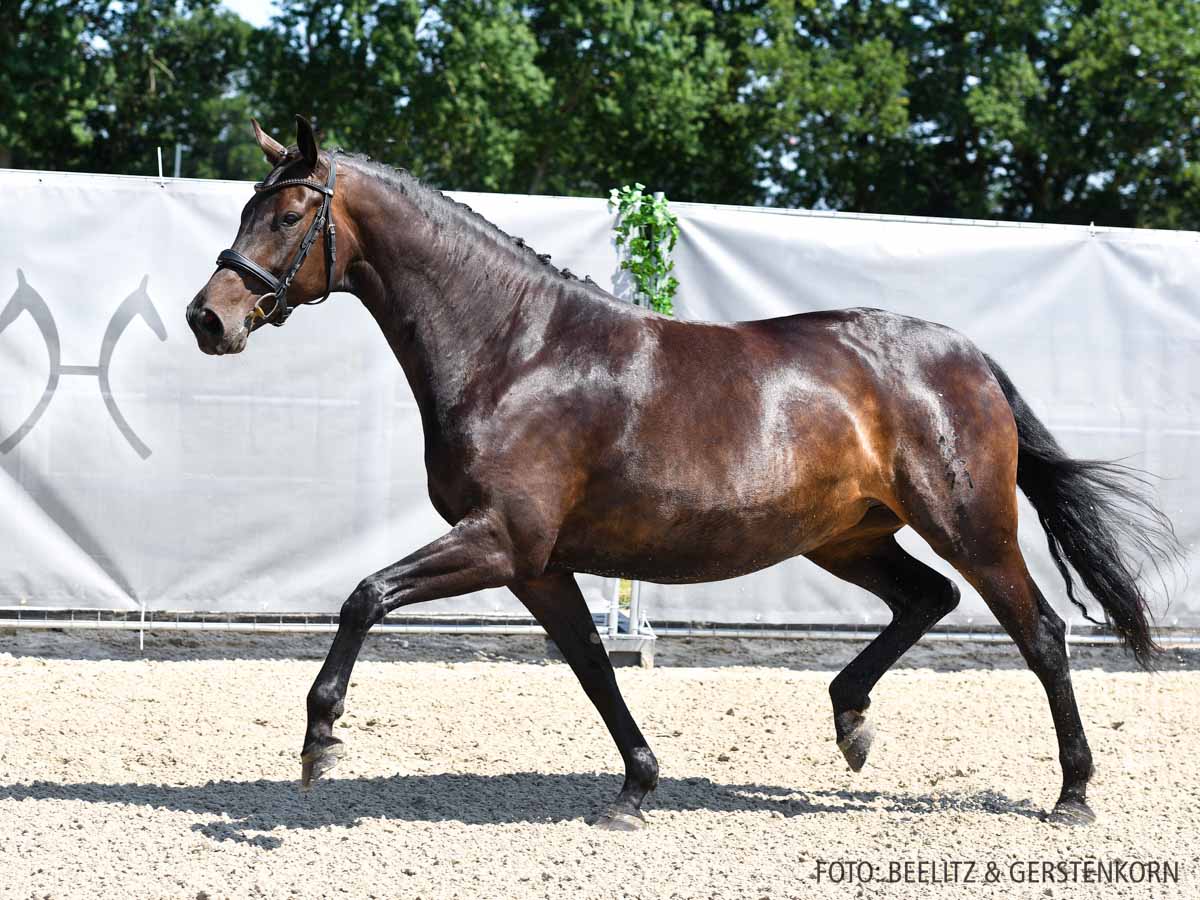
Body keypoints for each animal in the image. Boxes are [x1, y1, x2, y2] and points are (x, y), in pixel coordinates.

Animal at [186, 116, 1177, 830]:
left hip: (970, 524)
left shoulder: (502, 542)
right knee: (927, 600)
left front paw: (320, 739)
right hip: (845, 537)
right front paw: (636, 788)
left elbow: (365, 595)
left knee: (1039, 632)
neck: (517, 350)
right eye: (242, 210)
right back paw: (850, 721)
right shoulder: (539, 567)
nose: (208, 318)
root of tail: (964, 355)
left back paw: (1072, 795)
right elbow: (593, 666)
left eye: (285, 215)